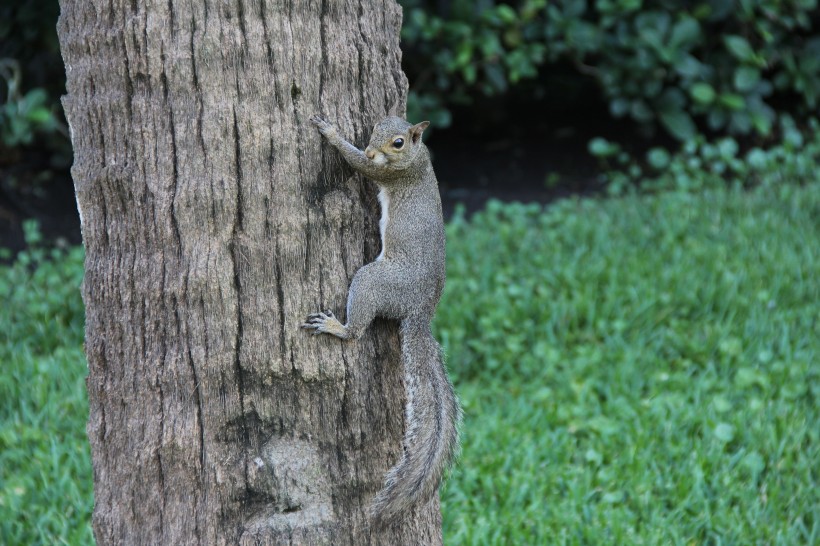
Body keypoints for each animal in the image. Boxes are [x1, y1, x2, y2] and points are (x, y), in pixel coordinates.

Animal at [302, 112, 462, 520]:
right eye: (375, 126)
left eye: (399, 142)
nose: (374, 148)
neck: (418, 158)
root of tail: (420, 310)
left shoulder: (388, 173)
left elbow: (359, 164)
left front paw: (331, 133)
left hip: (373, 280)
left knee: (357, 332)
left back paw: (336, 326)